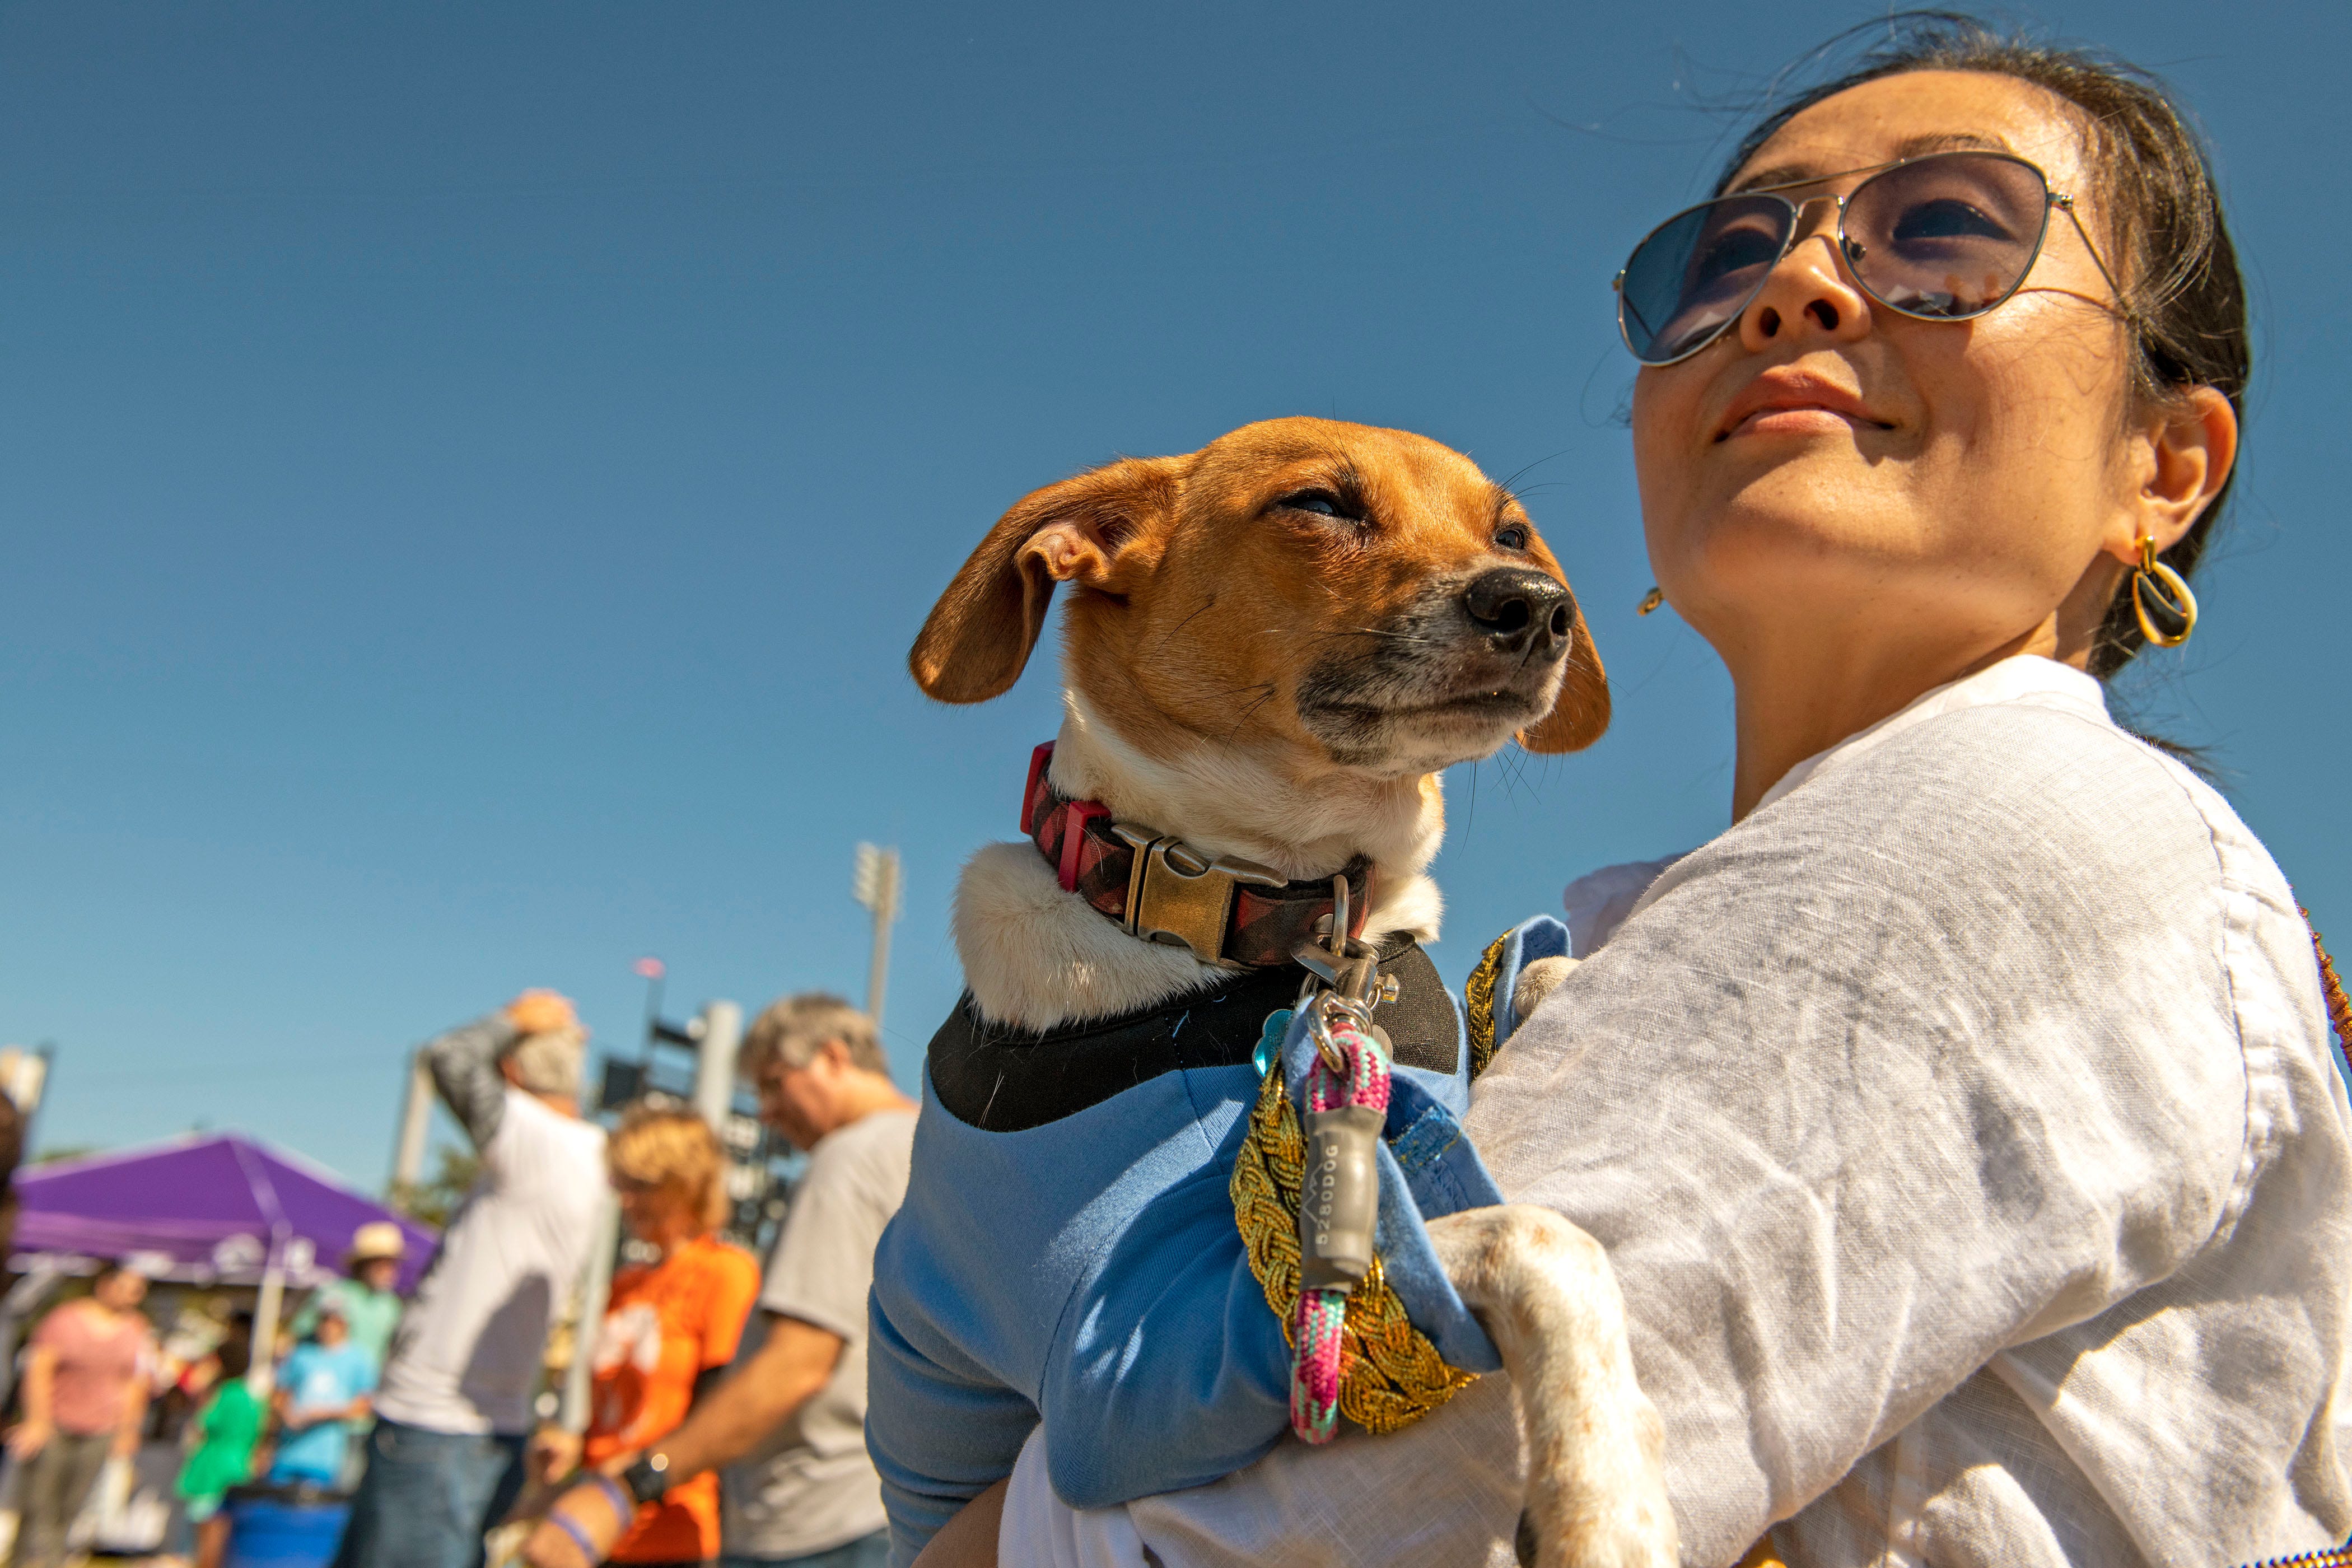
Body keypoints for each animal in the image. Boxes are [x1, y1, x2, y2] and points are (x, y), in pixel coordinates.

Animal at [898, 416, 1674, 1568]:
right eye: (1317, 504)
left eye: (1511, 532)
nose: (1539, 605)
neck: (1283, 916)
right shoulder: (1124, 1368)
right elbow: (1536, 1238)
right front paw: (1609, 1498)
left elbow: (1535, 969)